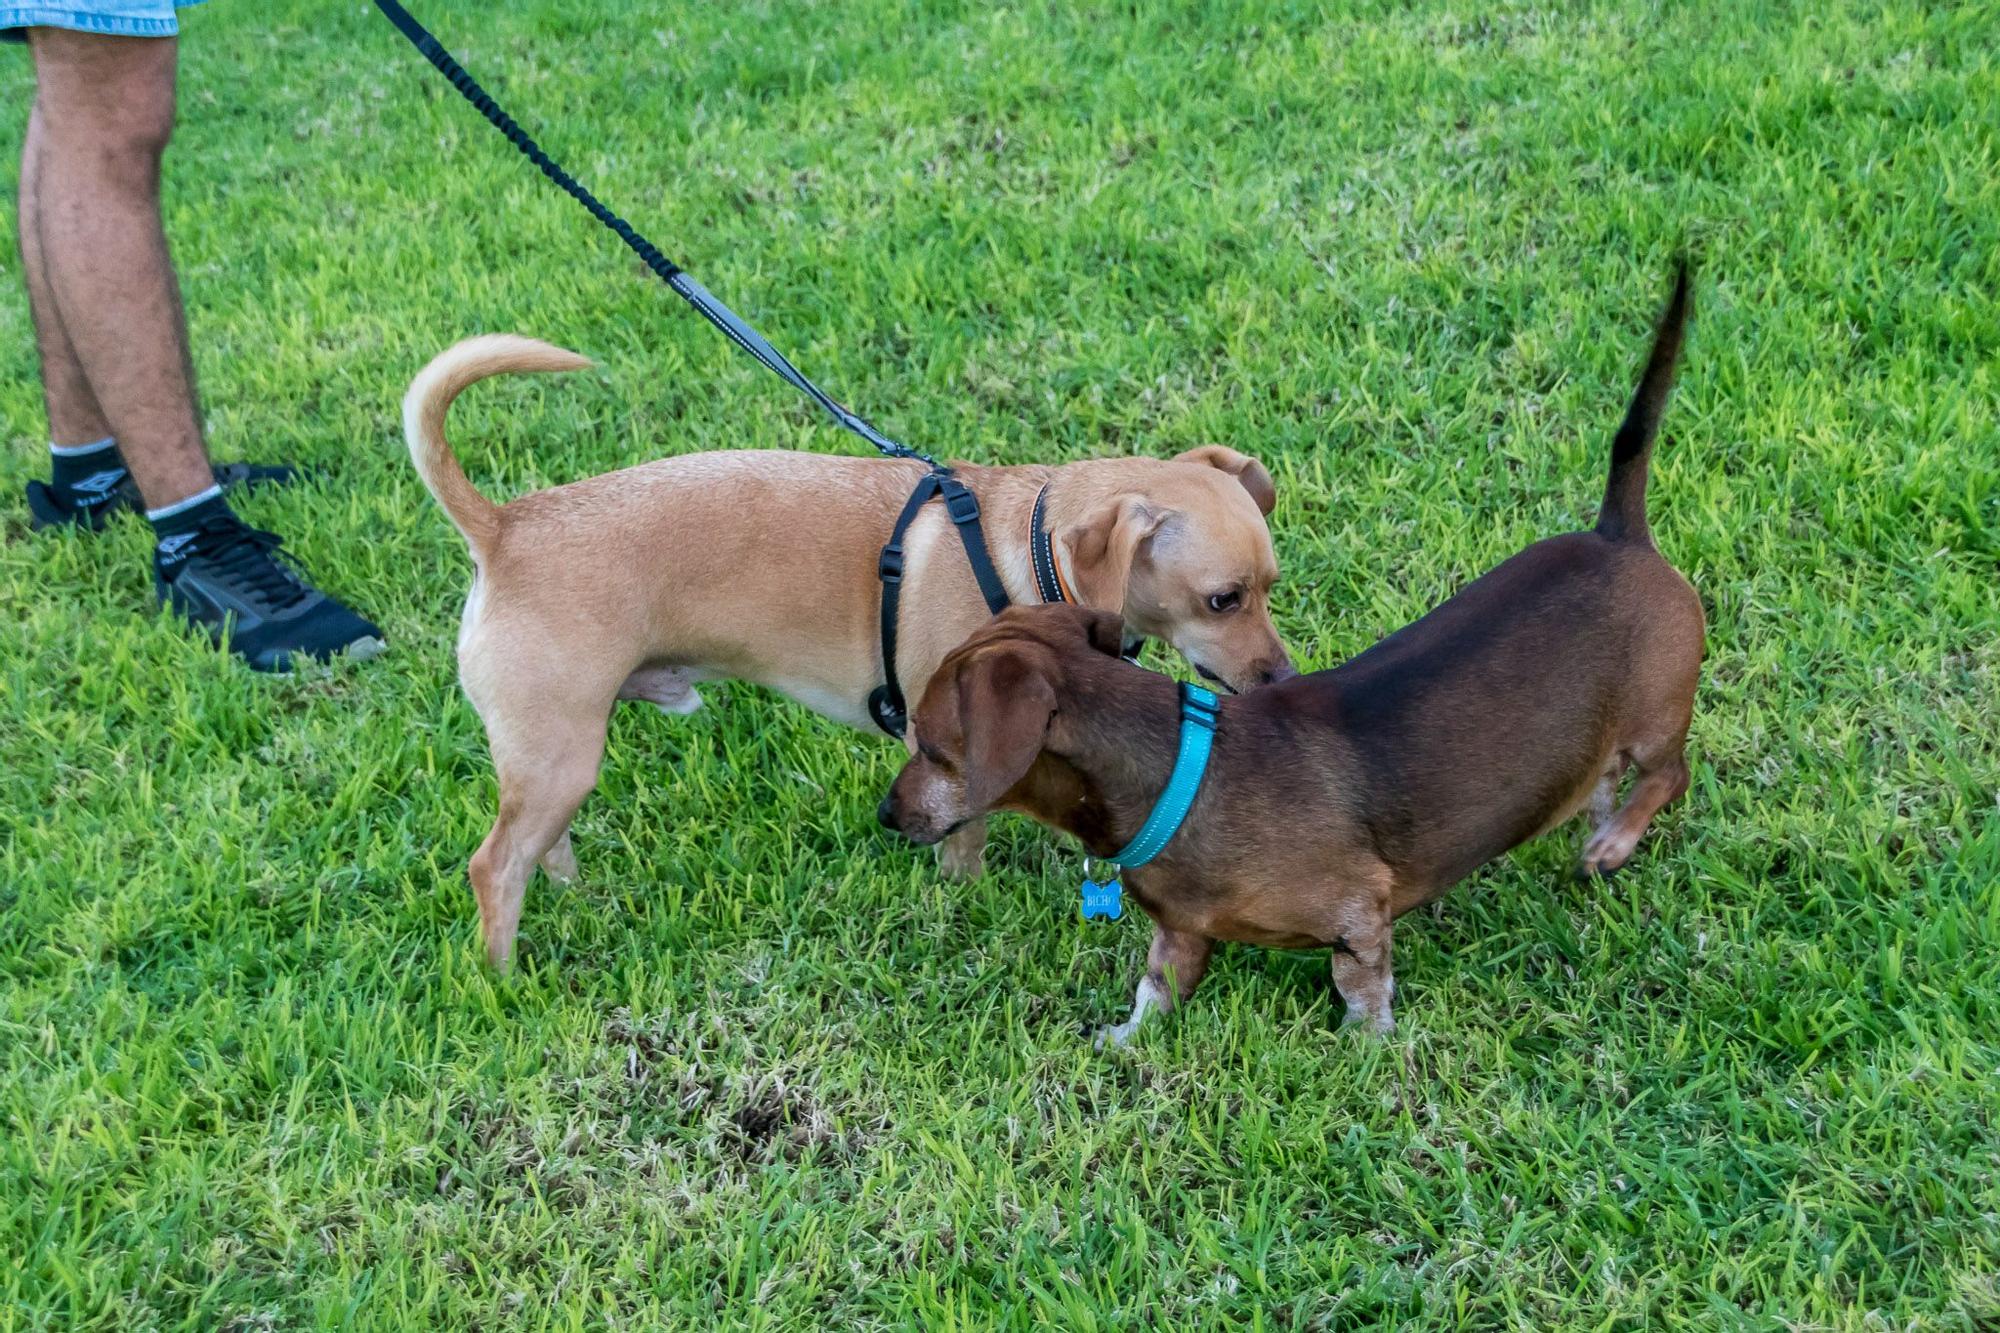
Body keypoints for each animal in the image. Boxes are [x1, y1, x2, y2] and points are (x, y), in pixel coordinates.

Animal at [402, 332, 1296, 964]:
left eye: (1271, 584)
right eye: (1223, 599)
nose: (1282, 675)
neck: (1029, 549)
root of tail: (504, 529)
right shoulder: (950, 746)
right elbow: (965, 834)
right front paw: (965, 897)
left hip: (554, 763)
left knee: (537, 849)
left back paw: (575, 901)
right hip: (559, 755)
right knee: (494, 866)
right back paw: (502, 978)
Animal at [884, 270, 1696, 1040]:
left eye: (933, 747)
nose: (888, 816)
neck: (1180, 769)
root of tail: (1619, 535)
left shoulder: (1359, 917)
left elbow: (1362, 992)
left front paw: (1370, 1051)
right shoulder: (1181, 930)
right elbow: (1157, 989)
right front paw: (1121, 1043)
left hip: (1658, 716)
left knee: (1669, 776)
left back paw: (1613, 843)